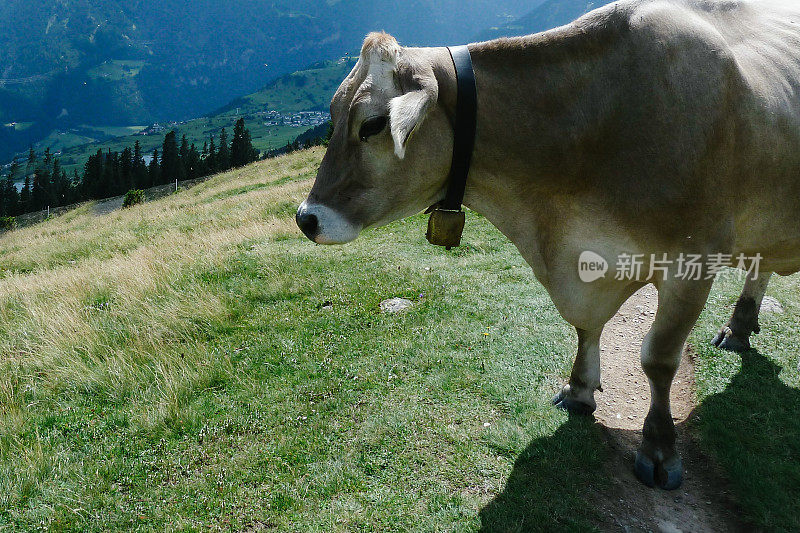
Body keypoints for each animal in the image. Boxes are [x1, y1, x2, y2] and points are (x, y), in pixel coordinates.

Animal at [296, 0, 800, 488]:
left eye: (372, 125)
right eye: (334, 116)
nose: (306, 218)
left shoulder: (691, 262)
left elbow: (658, 360)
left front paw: (659, 449)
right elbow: (585, 327)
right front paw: (579, 391)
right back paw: (739, 329)